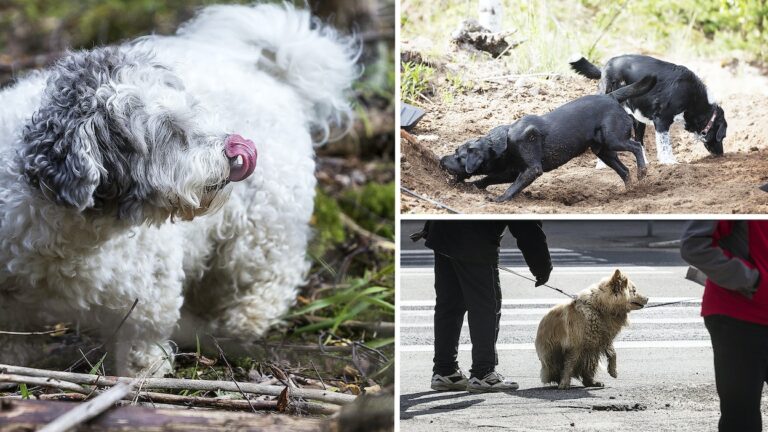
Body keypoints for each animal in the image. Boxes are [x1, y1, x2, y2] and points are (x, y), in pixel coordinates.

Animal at [0, 2, 356, 374]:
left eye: (194, 110)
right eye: (169, 131)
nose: (235, 149)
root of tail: (271, 75)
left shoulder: (148, 293)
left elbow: (143, 343)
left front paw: (143, 378)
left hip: (265, 228)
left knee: (274, 276)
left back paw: (245, 320)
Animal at [452, 74, 656, 202]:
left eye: (459, 156)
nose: (444, 160)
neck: (504, 141)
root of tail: (611, 97)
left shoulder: (532, 169)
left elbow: (512, 187)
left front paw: (499, 199)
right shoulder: (513, 171)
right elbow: (489, 179)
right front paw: (473, 186)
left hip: (614, 140)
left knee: (636, 146)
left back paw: (642, 172)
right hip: (603, 151)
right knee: (625, 171)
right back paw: (631, 190)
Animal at [568, 52, 728, 164]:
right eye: (723, 136)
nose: (721, 154)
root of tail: (605, 66)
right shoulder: (662, 120)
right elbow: (665, 145)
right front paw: (669, 163)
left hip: (637, 118)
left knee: (639, 142)